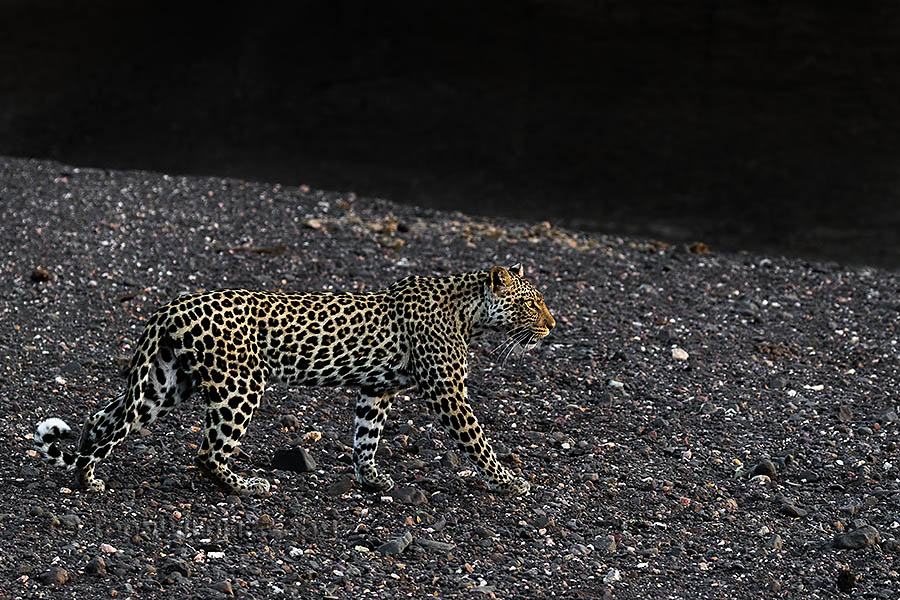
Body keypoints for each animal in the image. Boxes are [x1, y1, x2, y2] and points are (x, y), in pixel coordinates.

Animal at [34, 264, 555, 496]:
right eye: (531, 304)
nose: (552, 326)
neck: (470, 314)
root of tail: (168, 306)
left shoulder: (377, 390)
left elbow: (366, 436)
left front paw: (371, 479)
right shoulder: (448, 393)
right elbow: (478, 441)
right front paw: (510, 480)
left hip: (164, 384)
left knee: (102, 421)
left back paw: (86, 477)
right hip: (239, 386)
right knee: (205, 452)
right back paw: (244, 486)